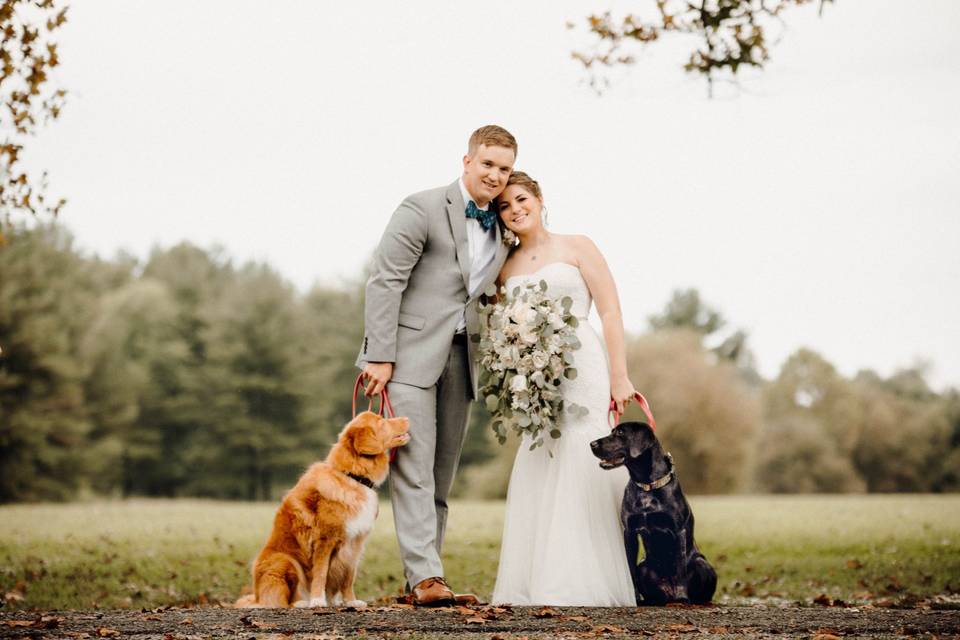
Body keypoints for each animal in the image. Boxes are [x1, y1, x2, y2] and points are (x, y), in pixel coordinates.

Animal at [588, 420, 716, 604]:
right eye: (613, 431)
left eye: (620, 433)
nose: (592, 444)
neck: (646, 485)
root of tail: (668, 594)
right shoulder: (630, 532)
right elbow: (630, 570)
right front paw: (634, 598)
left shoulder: (678, 531)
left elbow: (680, 568)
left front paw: (682, 597)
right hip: (644, 566)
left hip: (702, 564)